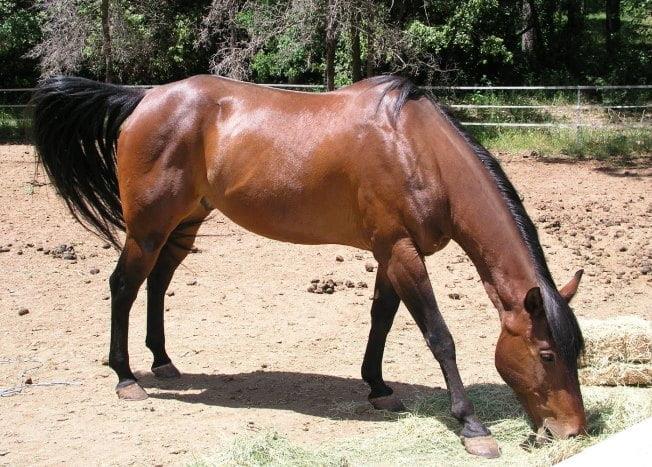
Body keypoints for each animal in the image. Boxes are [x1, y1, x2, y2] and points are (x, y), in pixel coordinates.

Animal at [31, 74, 586, 458]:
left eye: (575, 353)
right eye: (546, 354)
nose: (573, 431)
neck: (415, 149)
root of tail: (143, 97)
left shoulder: (390, 252)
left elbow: (381, 319)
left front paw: (378, 387)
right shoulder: (402, 252)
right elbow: (439, 336)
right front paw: (472, 426)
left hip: (185, 220)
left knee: (158, 281)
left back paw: (163, 361)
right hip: (147, 227)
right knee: (124, 284)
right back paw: (127, 377)